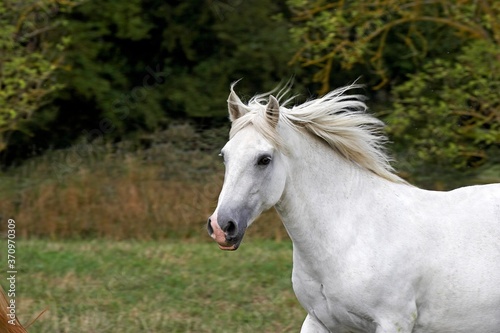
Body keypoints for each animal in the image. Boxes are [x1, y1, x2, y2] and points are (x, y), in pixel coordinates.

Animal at [206, 83, 500, 332]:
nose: (222, 227)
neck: (348, 238)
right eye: (225, 155)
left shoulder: (393, 322)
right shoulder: (319, 320)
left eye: (264, 159)